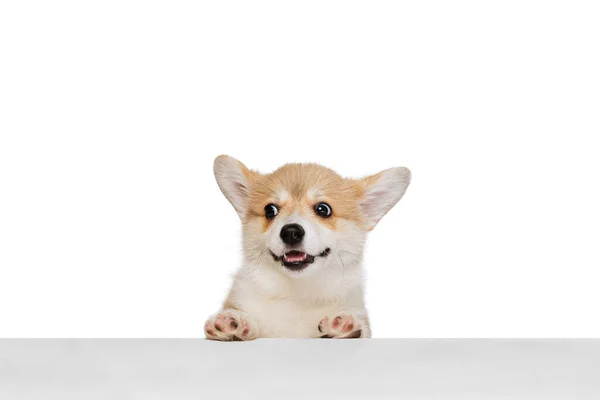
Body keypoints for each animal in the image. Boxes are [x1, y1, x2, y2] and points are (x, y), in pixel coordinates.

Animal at [204, 155, 410, 340]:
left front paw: (345, 328)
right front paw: (232, 323)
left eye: (323, 209)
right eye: (270, 210)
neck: (298, 293)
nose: (291, 232)